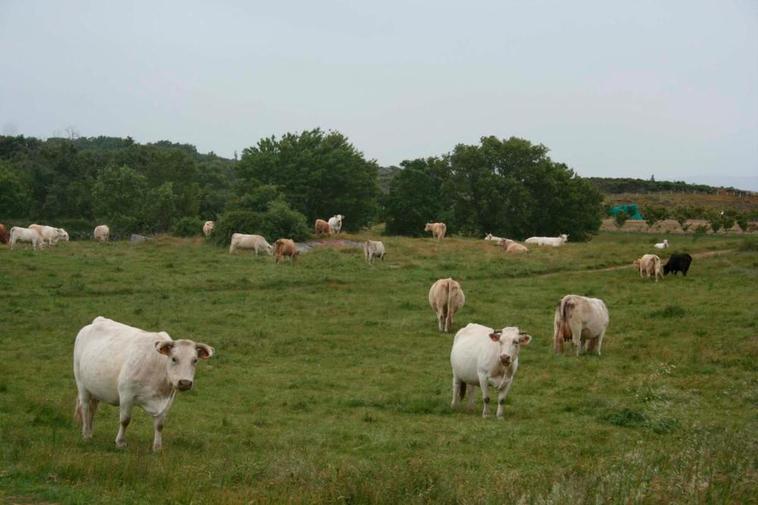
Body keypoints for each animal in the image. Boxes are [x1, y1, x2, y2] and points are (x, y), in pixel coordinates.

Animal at [72, 316, 215, 450]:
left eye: (195, 360)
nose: (185, 382)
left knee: (92, 408)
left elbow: (159, 425)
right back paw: (86, 434)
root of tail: (97, 321)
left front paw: (157, 447)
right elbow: (125, 420)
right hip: (81, 382)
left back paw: (90, 432)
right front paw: (120, 442)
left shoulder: (167, 400)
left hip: (95, 388)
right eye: (174, 359)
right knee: (85, 407)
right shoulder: (126, 395)